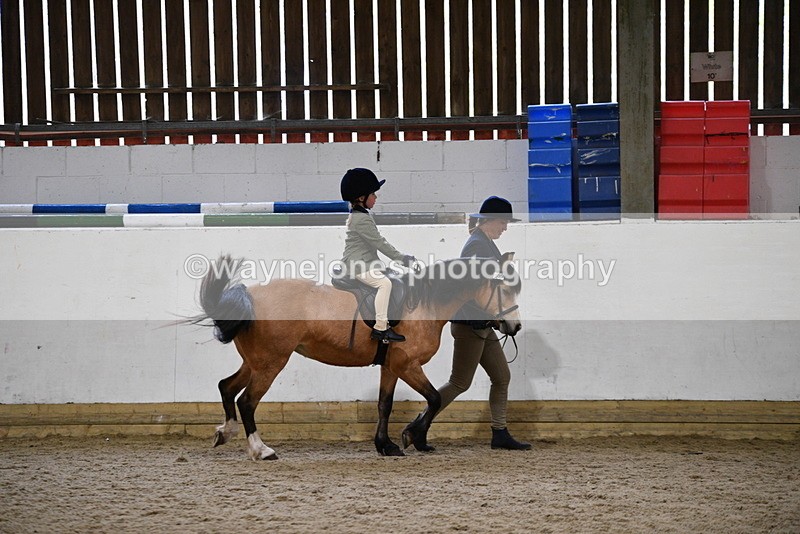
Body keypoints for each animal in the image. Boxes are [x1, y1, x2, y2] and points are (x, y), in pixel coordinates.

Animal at [194, 254, 522, 460]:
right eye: (505, 290)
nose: (515, 326)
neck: (423, 304)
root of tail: (249, 297)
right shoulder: (407, 365)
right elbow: (435, 398)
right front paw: (412, 436)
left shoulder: (391, 366)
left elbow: (385, 405)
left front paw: (387, 445)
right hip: (271, 363)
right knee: (247, 402)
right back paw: (262, 450)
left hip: (255, 361)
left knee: (227, 387)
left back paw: (225, 432)